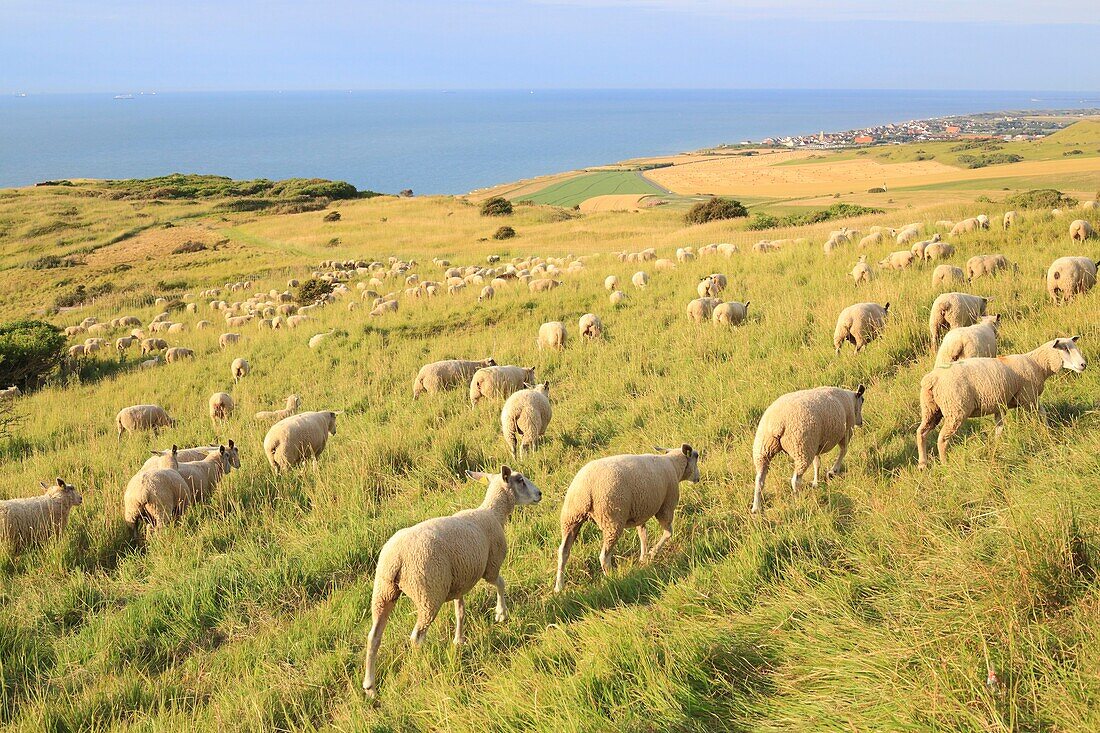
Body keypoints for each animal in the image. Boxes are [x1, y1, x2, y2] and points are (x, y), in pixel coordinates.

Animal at [360, 464, 541, 695]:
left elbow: (460, 611)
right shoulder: (490, 566)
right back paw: (421, 665)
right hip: (429, 591)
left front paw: (459, 640)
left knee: (374, 637)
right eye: (520, 480)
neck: (493, 513)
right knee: (417, 636)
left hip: (384, 592)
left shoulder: (460, 581)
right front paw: (501, 613)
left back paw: (370, 687)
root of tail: (396, 558)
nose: (539, 494)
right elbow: (501, 583)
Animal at [554, 442, 699, 589]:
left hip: (571, 517)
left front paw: (643, 558)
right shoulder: (666, 506)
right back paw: (611, 579)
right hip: (612, 519)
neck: (673, 465)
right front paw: (652, 553)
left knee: (563, 551)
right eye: (696, 456)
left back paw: (559, 586)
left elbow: (643, 535)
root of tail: (586, 488)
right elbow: (668, 533)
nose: (698, 478)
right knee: (604, 556)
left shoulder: (641, 511)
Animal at [752, 383, 862, 512]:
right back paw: (798, 501)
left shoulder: (816, 445)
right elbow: (843, 452)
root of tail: (777, 424)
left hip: (763, 449)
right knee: (796, 480)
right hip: (802, 447)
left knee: (759, 479)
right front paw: (833, 471)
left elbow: (817, 463)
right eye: (862, 401)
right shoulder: (846, 432)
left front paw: (816, 482)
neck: (851, 400)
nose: (861, 422)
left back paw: (756, 507)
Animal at [915, 334, 1086, 464]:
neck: (1039, 364)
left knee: (921, 432)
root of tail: (931, 379)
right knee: (942, 439)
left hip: (931, 409)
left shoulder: (1000, 404)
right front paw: (1045, 431)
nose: (1084, 364)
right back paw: (945, 463)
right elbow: (1041, 414)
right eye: (1065, 349)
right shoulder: (1029, 397)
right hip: (955, 410)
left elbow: (1000, 427)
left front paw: (996, 445)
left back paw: (923, 464)